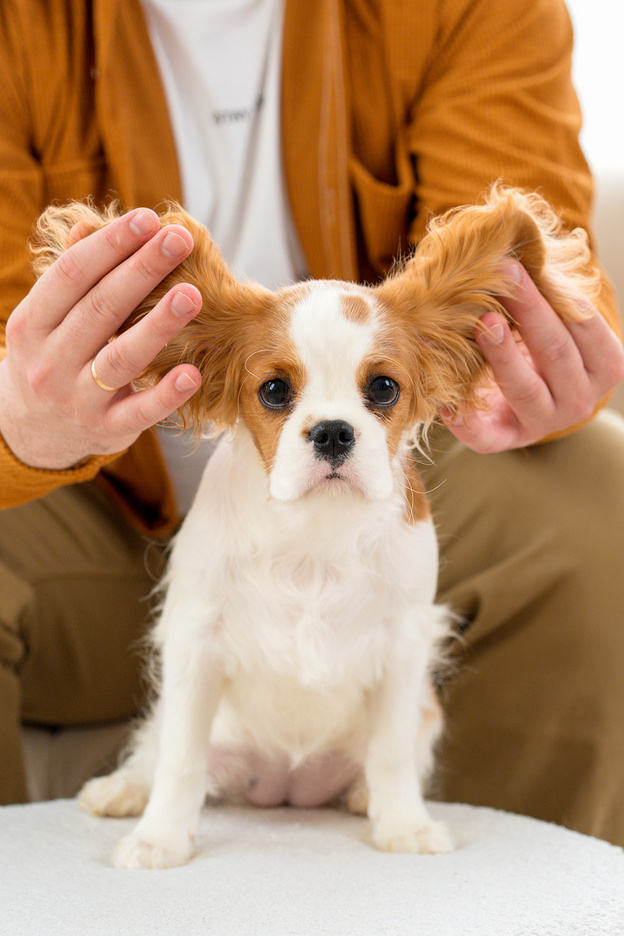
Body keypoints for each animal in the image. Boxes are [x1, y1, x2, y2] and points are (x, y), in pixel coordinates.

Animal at [31, 185, 596, 872]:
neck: (315, 529)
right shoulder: (196, 640)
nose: (331, 431)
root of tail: (286, 789)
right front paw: (160, 839)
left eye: (384, 388)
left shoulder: (404, 644)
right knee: (156, 747)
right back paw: (124, 791)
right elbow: (180, 757)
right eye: (275, 391)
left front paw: (404, 826)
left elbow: (391, 751)